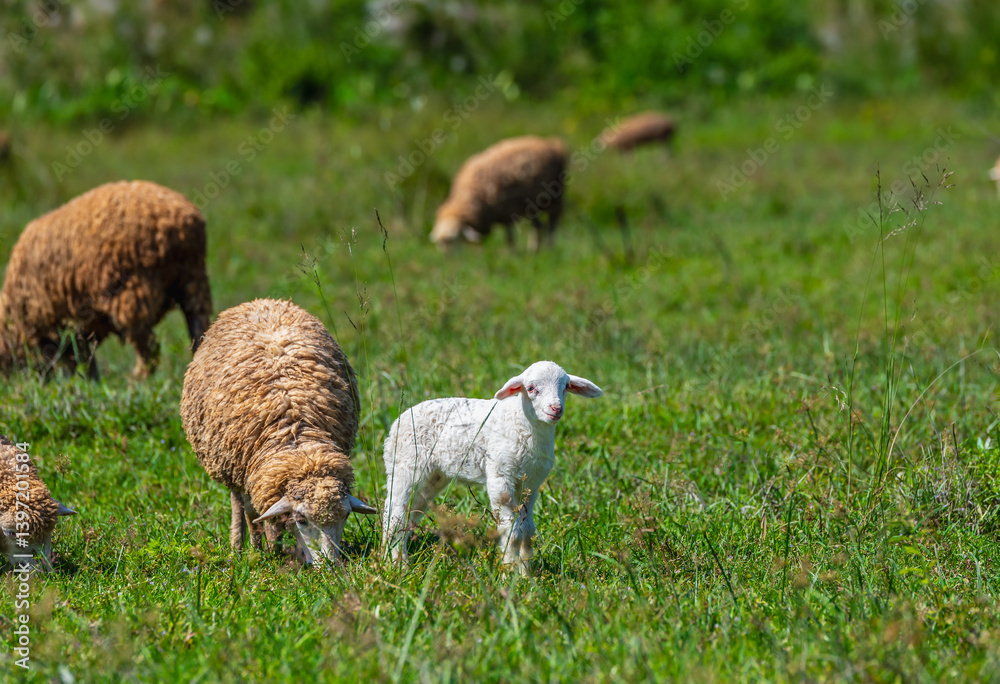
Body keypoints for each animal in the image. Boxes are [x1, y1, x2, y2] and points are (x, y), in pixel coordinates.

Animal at [0, 180, 213, 379]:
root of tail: (181, 222)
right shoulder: (80, 327)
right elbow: (84, 359)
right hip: (194, 283)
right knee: (198, 330)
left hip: (134, 295)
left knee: (149, 348)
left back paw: (137, 379)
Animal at [180, 298, 377, 566]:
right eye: (302, 520)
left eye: (346, 517)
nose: (331, 567)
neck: (297, 440)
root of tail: (259, 302)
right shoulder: (249, 471)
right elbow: (253, 514)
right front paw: (263, 551)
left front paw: (277, 548)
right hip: (228, 464)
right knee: (238, 504)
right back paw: (239, 547)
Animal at [382, 360, 602, 575]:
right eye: (531, 388)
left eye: (565, 387)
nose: (556, 408)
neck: (521, 422)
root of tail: (397, 421)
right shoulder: (500, 475)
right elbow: (512, 531)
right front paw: (508, 572)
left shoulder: (531, 482)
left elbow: (527, 530)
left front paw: (526, 573)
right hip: (405, 465)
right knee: (394, 515)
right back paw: (397, 565)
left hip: (433, 476)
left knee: (410, 513)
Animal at [430, 136, 568, 252]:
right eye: (439, 243)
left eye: (455, 239)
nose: (447, 258)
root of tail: (554, 144)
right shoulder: (504, 212)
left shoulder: (506, 209)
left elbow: (509, 236)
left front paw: (512, 252)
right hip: (534, 203)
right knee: (538, 226)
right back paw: (535, 249)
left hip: (554, 196)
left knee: (552, 223)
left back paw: (548, 247)